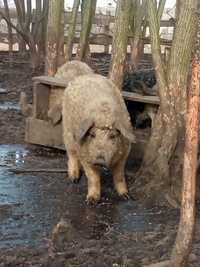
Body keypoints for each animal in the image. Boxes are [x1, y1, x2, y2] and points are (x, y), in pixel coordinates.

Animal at [61, 74, 135, 204]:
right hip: (67, 131)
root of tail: (83, 76)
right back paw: (74, 178)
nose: (100, 161)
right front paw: (91, 201)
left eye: (112, 135)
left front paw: (126, 196)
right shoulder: (85, 155)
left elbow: (119, 175)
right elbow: (93, 177)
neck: (103, 116)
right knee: (71, 154)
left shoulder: (124, 153)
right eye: (92, 134)